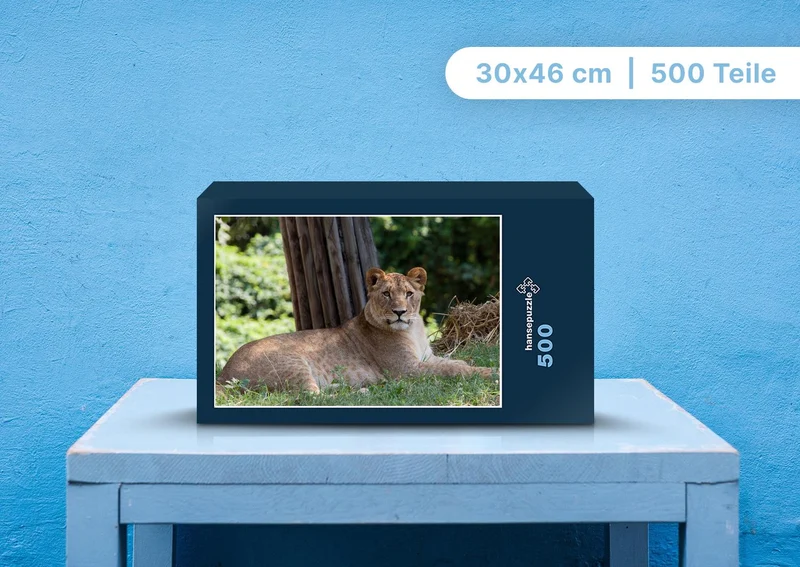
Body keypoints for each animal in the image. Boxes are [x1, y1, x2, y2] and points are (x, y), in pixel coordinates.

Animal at [217, 266, 495, 395]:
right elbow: (453, 370)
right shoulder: (407, 370)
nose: (400, 312)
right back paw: (361, 392)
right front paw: (490, 372)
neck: (413, 329)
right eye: (386, 294)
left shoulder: (426, 358)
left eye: (408, 293)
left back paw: (357, 389)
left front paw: (471, 362)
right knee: (308, 397)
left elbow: (453, 362)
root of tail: (223, 374)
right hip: (292, 363)